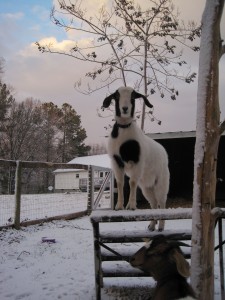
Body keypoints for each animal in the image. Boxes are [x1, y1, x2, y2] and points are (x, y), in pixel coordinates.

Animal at [102, 85, 169, 231]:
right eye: (116, 96)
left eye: (133, 97)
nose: (125, 109)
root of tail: (163, 151)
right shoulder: (116, 161)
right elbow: (120, 183)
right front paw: (119, 206)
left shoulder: (138, 162)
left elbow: (132, 182)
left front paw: (131, 206)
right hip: (147, 187)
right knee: (153, 203)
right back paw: (152, 226)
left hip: (161, 182)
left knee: (162, 202)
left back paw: (161, 226)